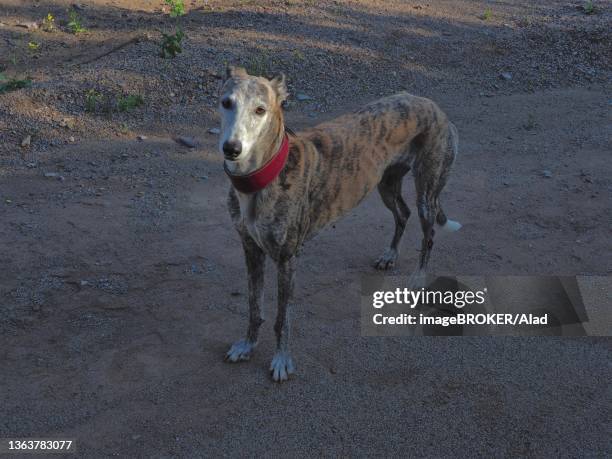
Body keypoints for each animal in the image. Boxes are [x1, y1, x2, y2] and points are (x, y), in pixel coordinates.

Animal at [219, 66, 460, 382]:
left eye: (260, 110)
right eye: (226, 103)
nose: (231, 148)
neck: (264, 176)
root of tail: (432, 104)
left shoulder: (286, 259)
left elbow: (282, 318)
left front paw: (282, 359)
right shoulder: (251, 250)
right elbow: (253, 306)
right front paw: (247, 345)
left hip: (427, 192)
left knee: (428, 234)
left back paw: (419, 278)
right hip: (386, 183)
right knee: (402, 214)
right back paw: (389, 255)